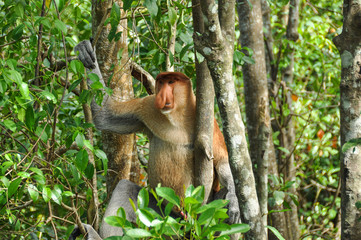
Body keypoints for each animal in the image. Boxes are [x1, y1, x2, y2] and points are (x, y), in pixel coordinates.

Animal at [70, 40, 239, 239]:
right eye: (161, 82)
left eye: (171, 82)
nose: (162, 94)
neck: (175, 118)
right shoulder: (146, 106)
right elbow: (106, 116)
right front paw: (86, 52)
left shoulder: (209, 124)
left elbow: (222, 161)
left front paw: (234, 201)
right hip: (158, 215)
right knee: (125, 187)